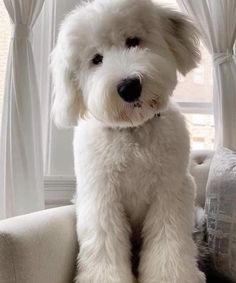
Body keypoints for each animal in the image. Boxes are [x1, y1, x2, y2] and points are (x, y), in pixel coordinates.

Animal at [50, 0, 206, 283]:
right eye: (96, 59)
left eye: (133, 41)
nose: (129, 86)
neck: (133, 130)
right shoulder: (101, 196)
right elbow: (105, 242)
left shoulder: (170, 191)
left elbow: (168, 242)